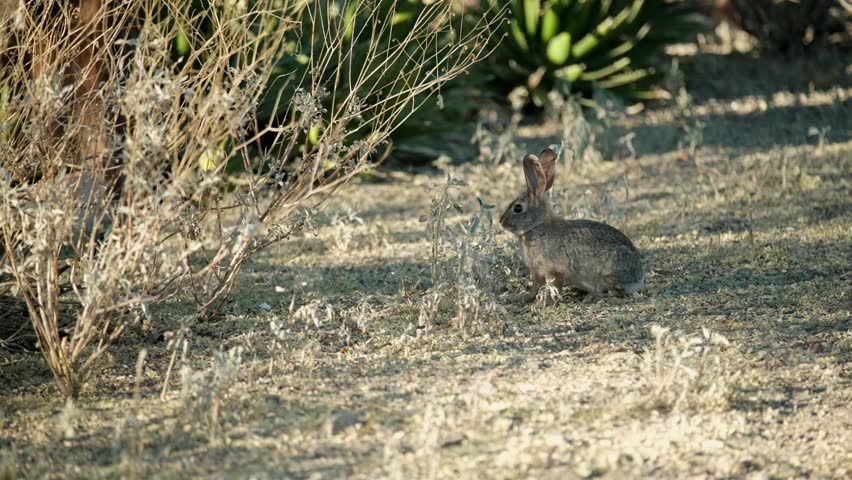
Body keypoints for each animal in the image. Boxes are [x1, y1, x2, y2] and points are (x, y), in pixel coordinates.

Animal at [499, 148, 644, 302]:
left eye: (518, 208)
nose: (501, 221)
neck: (537, 225)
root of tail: (639, 278)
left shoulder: (555, 270)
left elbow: (554, 287)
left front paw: (548, 302)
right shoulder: (538, 272)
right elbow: (535, 287)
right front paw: (523, 298)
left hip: (609, 272)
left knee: (616, 292)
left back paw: (591, 297)